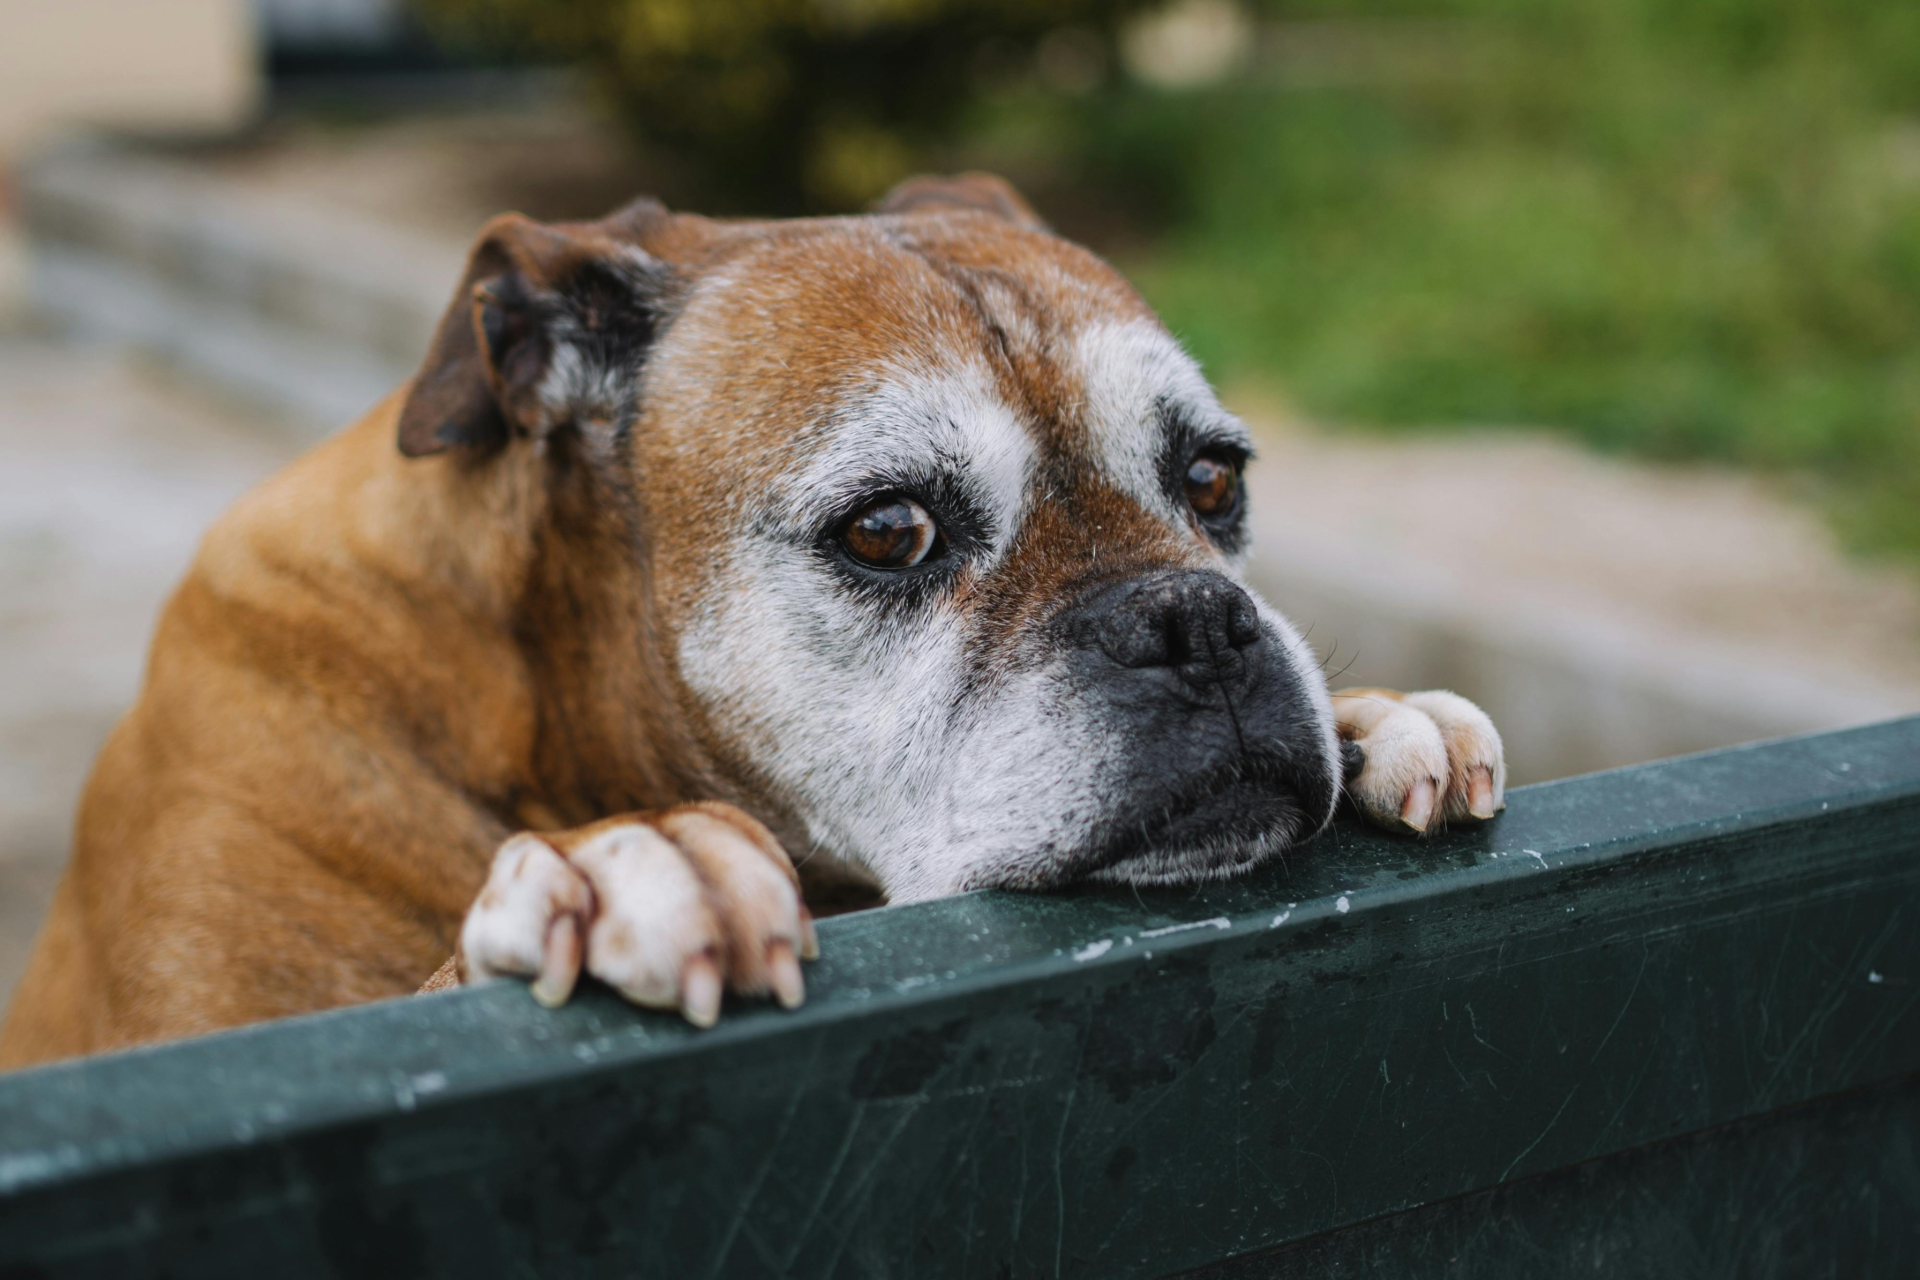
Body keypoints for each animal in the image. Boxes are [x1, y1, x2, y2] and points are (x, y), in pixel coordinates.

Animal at [0, 172, 1497, 1074]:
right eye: (889, 528)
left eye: (1213, 478)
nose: (1192, 620)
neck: (524, 703)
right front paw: (618, 865)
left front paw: (1380, 721)